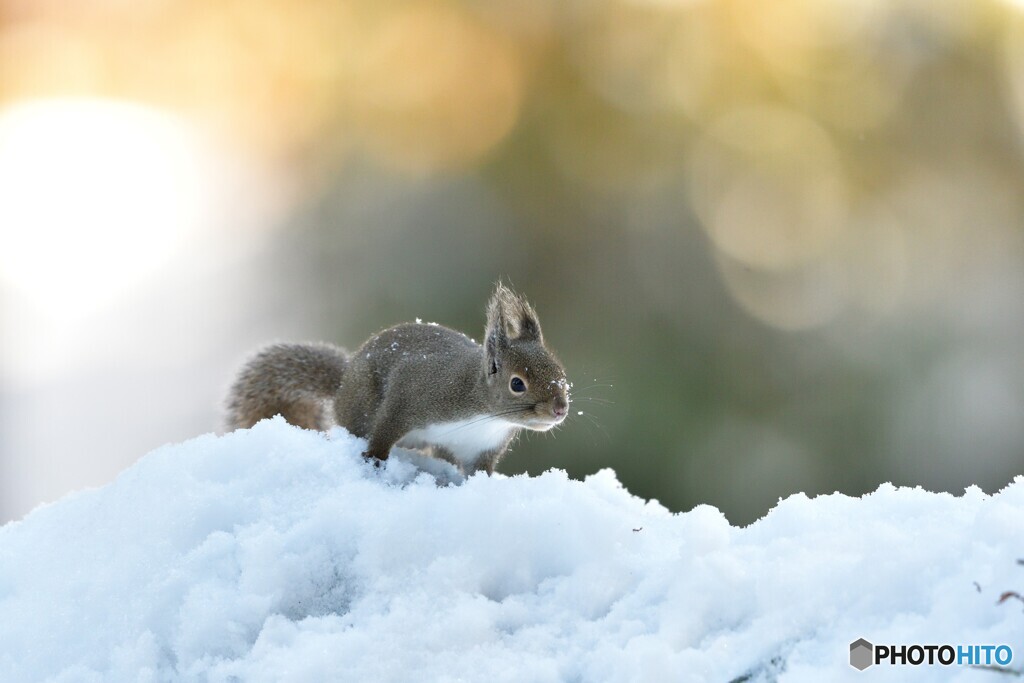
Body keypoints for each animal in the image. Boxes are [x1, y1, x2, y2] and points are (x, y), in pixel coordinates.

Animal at [225, 282, 573, 475]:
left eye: (561, 374)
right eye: (517, 384)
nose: (559, 409)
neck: (484, 414)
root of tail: (342, 387)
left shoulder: (482, 449)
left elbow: (479, 472)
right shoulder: (414, 396)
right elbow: (386, 428)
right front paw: (375, 459)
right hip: (361, 407)